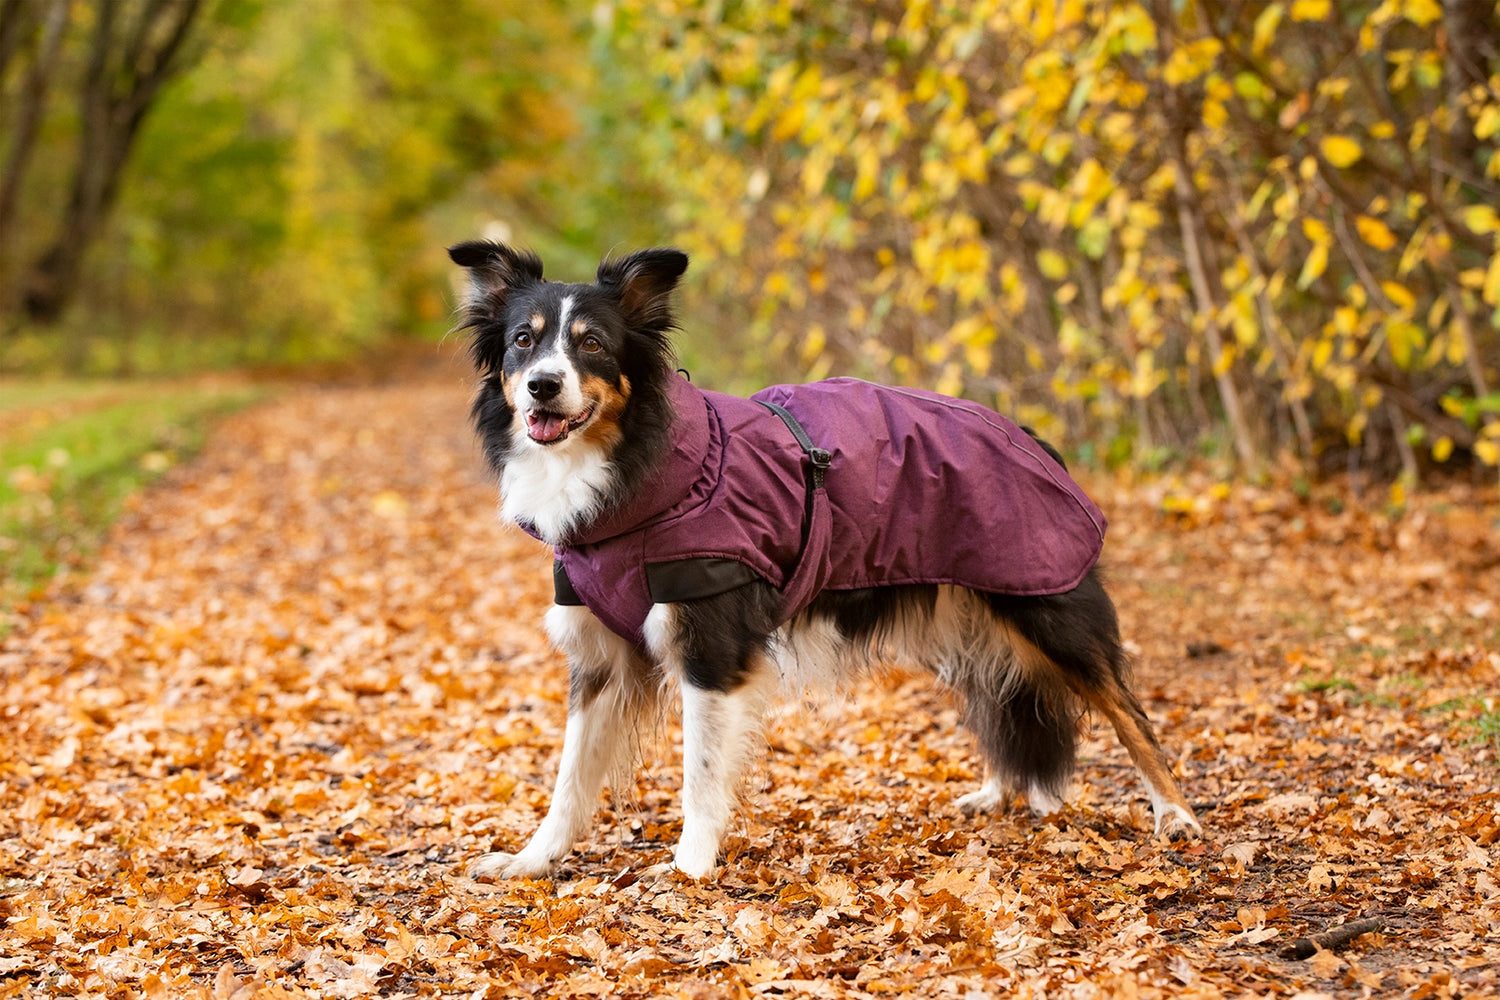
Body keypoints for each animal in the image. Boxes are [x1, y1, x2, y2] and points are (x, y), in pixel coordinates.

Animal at [450, 238, 1200, 881]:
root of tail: (1027, 432)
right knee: (1002, 692)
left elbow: (699, 770)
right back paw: (996, 793)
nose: (544, 386)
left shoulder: (711, 648)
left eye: (593, 345)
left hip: (1045, 603)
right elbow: (570, 775)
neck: (636, 471)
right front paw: (533, 859)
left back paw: (1176, 816)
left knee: (1128, 711)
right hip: (964, 611)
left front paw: (690, 865)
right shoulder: (600, 656)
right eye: (523, 342)